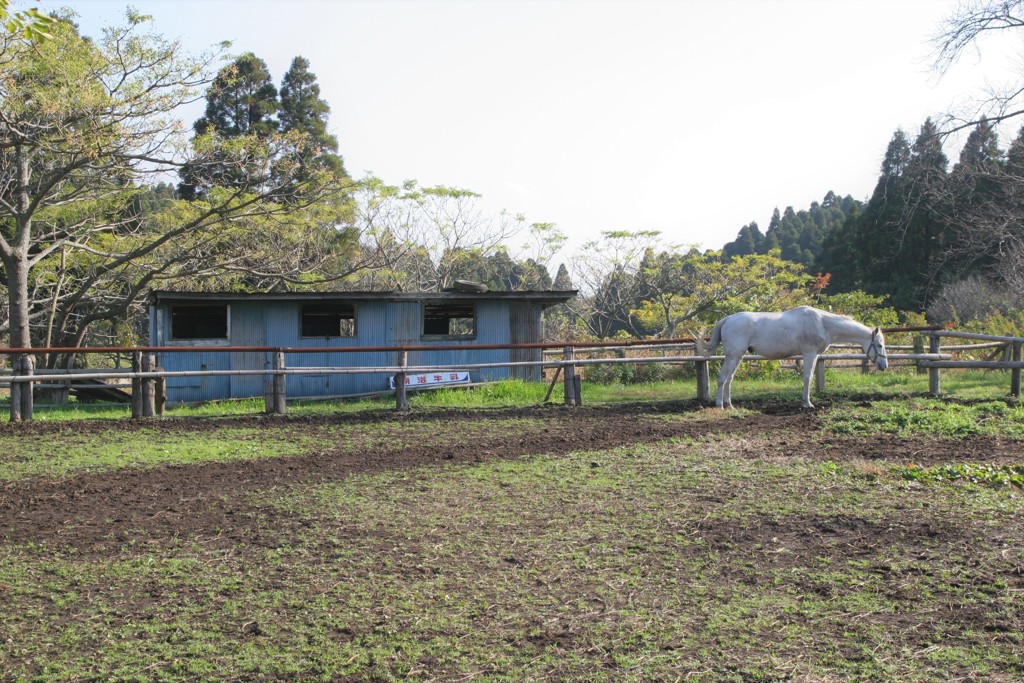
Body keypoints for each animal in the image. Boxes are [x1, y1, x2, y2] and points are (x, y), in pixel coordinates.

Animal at [704, 307, 888, 409]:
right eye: (879, 345)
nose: (884, 365)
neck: (822, 323)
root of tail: (728, 319)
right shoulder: (809, 353)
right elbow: (807, 377)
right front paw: (807, 403)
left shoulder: (814, 355)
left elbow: (810, 376)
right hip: (732, 356)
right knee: (722, 378)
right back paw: (720, 405)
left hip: (738, 356)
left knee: (729, 379)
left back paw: (729, 405)